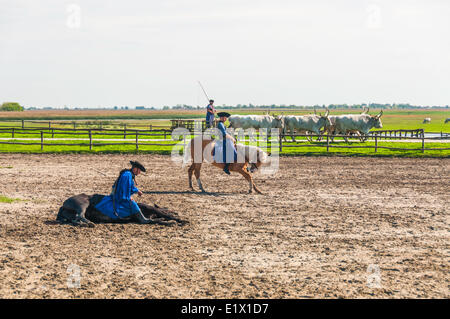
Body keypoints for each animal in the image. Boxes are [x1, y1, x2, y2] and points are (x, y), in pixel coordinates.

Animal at [56, 195, 186, 228]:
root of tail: (63, 205)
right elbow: (164, 216)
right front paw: (179, 220)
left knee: (75, 219)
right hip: (83, 204)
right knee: (80, 215)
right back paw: (89, 223)